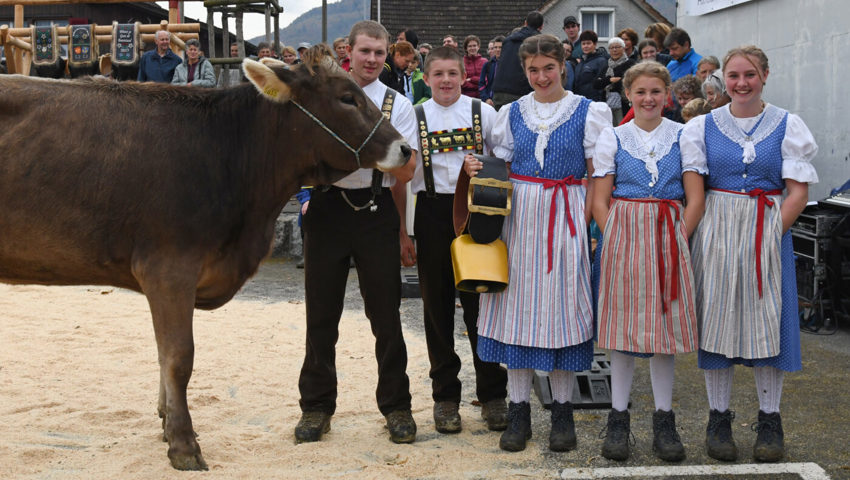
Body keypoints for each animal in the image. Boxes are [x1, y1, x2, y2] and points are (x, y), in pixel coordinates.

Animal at [0, 58, 410, 470]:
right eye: (346, 98)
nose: (406, 148)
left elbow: (163, 353)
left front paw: (167, 424)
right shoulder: (168, 269)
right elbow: (178, 358)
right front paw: (183, 445)